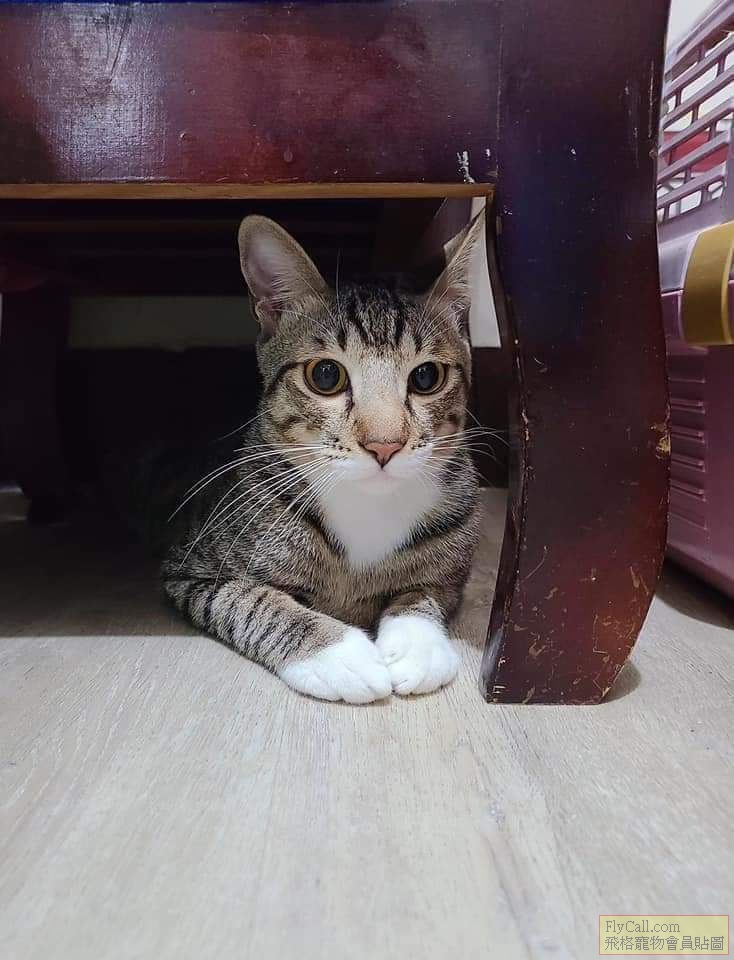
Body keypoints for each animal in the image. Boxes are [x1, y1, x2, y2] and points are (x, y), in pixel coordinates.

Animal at [162, 213, 482, 703]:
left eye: (427, 377)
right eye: (326, 375)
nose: (384, 444)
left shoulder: (453, 563)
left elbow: (426, 591)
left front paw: (418, 644)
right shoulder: (191, 571)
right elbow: (248, 600)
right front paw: (338, 653)